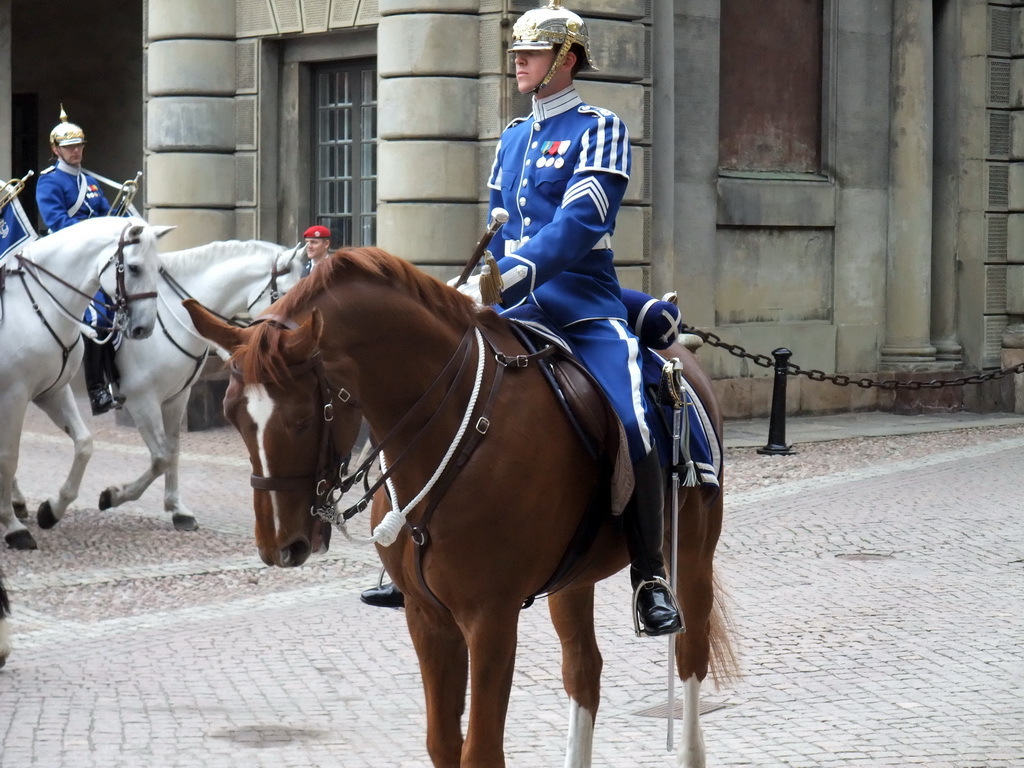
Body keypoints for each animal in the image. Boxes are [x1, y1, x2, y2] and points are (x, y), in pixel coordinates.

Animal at [0, 219, 165, 548]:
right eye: (134, 267)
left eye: (159, 268)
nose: (144, 328)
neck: (40, 306)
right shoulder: (13, 395)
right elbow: (8, 457)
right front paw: (13, 528)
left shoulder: (51, 391)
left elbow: (85, 444)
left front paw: (51, 510)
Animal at [90, 243, 303, 532]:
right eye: (285, 294)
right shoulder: (142, 401)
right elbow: (161, 457)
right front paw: (113, 496)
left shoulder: (176, 397)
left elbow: (173, 451)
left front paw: (177, 509)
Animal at [182, 247, 729, 768]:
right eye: (232, 413)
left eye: (299, 419)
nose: (281, 545)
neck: (456, 428)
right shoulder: (427, 618)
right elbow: (444, 744)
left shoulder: (490, 618)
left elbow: (480, 752)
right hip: (573, 578)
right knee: (583, 669)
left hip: (693, 554)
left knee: (690, 656)